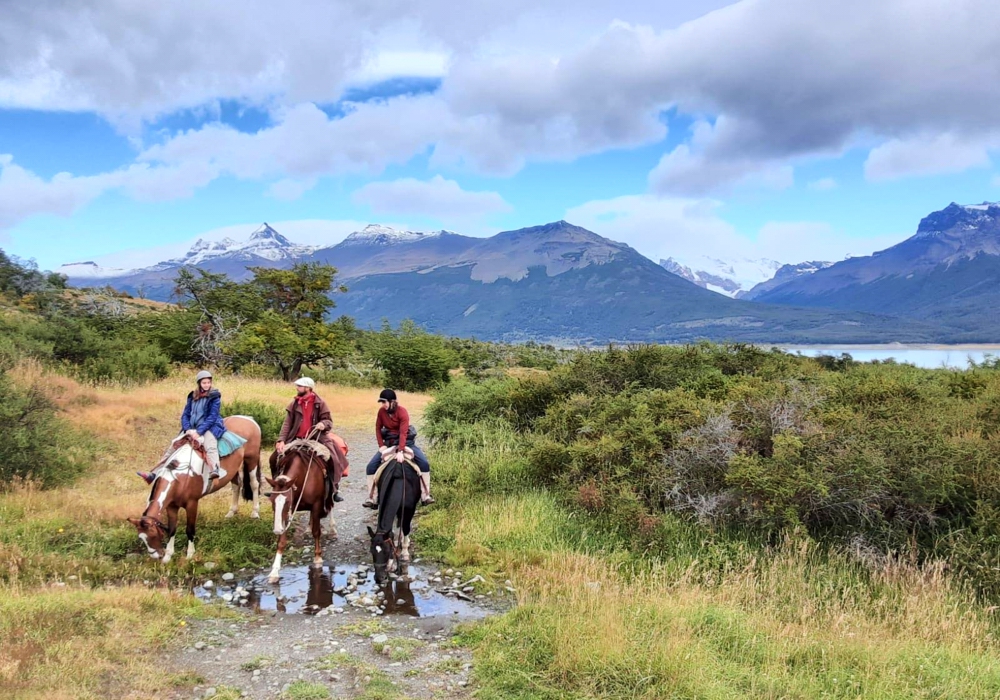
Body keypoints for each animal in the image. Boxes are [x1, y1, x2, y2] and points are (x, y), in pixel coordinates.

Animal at [128, 416, 262, 564]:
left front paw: (190, 554)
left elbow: (190, 529)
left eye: (152, 534)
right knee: (236, 486)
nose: (156, 556)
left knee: (254, 484)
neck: (179, 478)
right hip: (233, 469)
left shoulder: (192, 504)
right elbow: (172, 529)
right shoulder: (171, 507)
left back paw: (255, 512)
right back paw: (232, 512)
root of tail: (248, 419)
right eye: (141, 538)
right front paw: (168, 555)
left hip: (252, 459)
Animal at [264, 440, 346, 584]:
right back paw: (308, 528)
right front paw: (274, 572)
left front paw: (318, 558)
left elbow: (316, 531)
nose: (277, 529)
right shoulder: (286, 513)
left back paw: (332, 530)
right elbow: (282, 541)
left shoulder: (316, 504)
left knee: (330, 505)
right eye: (272, 501)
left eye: (287, 501)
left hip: (329, 493)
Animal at [368, 452, 422, 584]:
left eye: (386, 551)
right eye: (371, 551)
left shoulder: (409, 510)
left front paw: (404, 553)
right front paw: (392, 564)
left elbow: (406, 528)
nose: (379, 578)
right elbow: (391, 533)